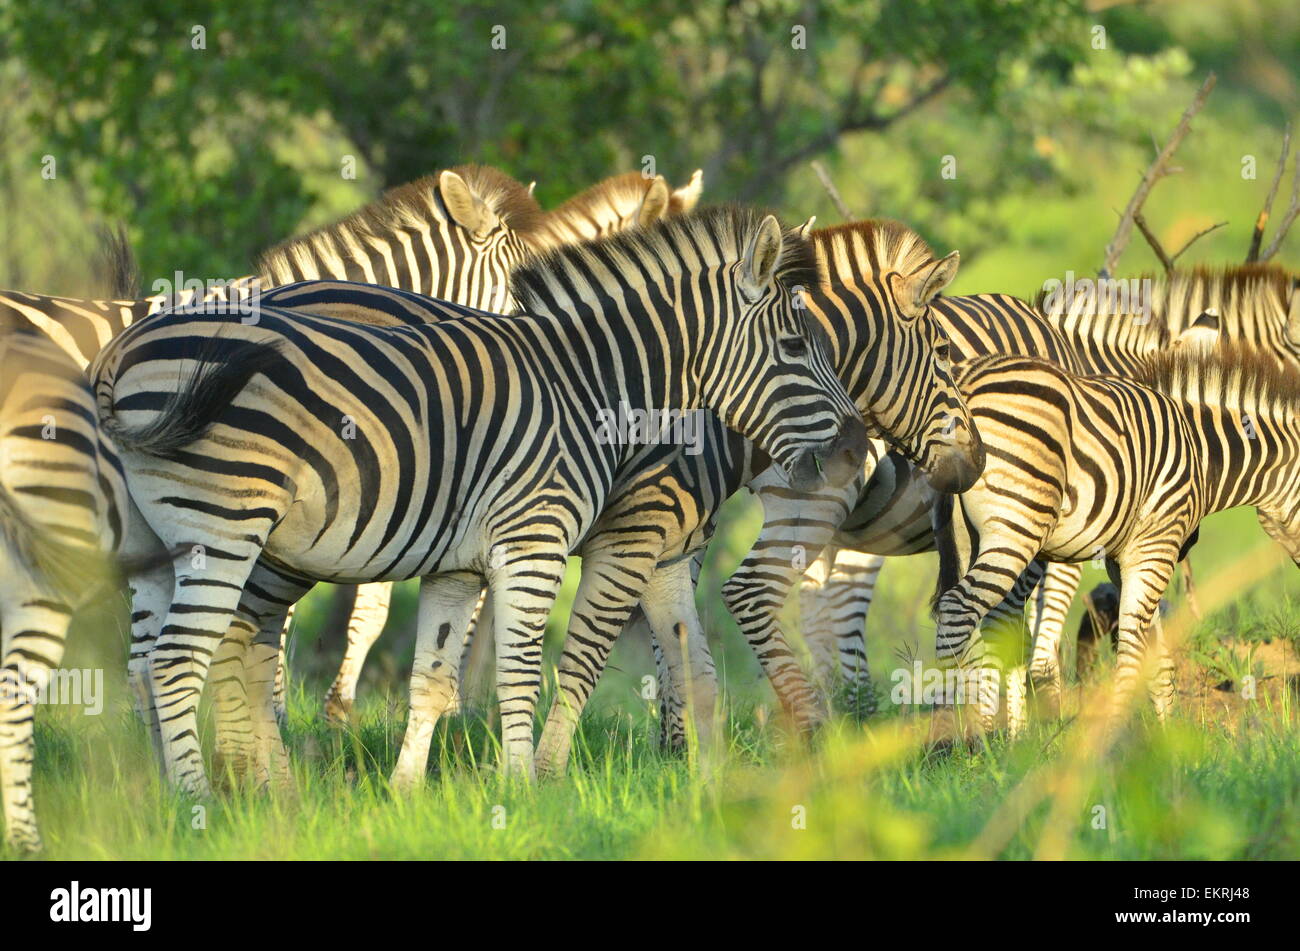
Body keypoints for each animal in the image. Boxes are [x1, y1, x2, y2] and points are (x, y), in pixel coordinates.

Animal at [96, 210, 873, 795]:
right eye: (795, 346)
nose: (853, 450)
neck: (589, 384)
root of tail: (121, 348)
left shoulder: (465, 565)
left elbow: (434, 679)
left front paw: (406, 794)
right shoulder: (547, 542)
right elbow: (531, 669)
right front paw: (527, 787)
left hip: (180, 545)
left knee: (185, 656)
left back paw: (234, 792)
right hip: (225, 531)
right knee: (179, 661)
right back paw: (201, 802)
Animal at [935, 345, 1300, 732]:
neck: (1201, 453)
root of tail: (967, 381)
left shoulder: (1125, 559)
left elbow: (1156, 654)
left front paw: (1166, 732)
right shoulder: (1157, 547)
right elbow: (1131, 646)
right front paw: (1117, 731)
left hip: (968, 537)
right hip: (1016, 529)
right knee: (959, 609)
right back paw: (963, 735)